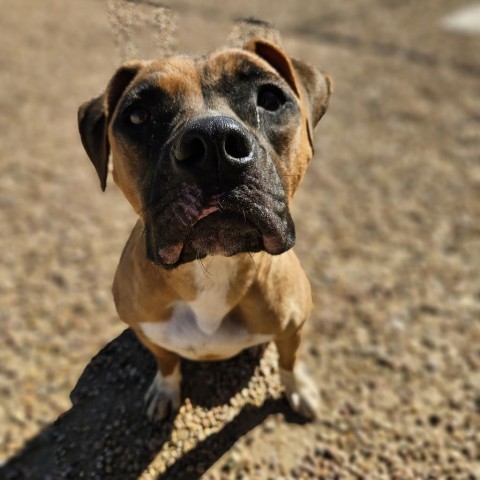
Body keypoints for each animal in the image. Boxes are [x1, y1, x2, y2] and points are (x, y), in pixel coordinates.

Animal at [79, 29, 332, 420]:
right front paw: (166, 389)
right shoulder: (148, 332)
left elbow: (288, 361)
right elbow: (167, 361)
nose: (214, 142)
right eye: (137, 116)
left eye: (270, 99)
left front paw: (299, 389)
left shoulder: (293, 328)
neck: (213, 265)